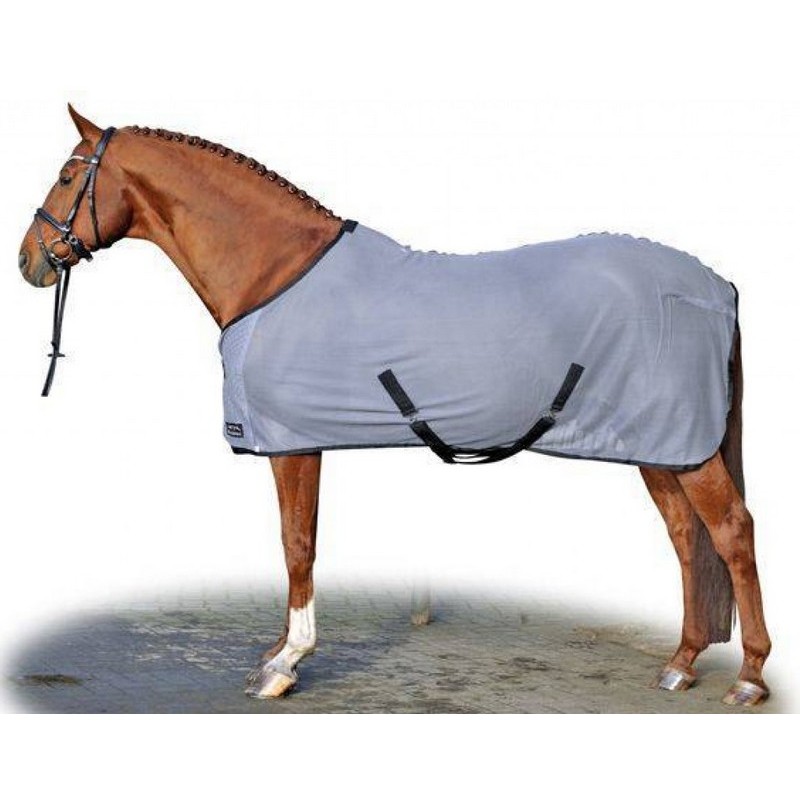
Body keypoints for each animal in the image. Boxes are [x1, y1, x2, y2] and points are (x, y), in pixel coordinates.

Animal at [17, 106, 772, 707]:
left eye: (67, 176)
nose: (29, 260)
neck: (273, 273)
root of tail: (717, 284)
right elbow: (296, 542)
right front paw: (276, 652)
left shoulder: (292, 443)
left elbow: (297, 544)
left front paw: (285, 664)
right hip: (656, 447)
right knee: (686, 536)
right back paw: (680, 664)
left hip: (684, 447)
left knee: (732, 531)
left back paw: (749, 677)